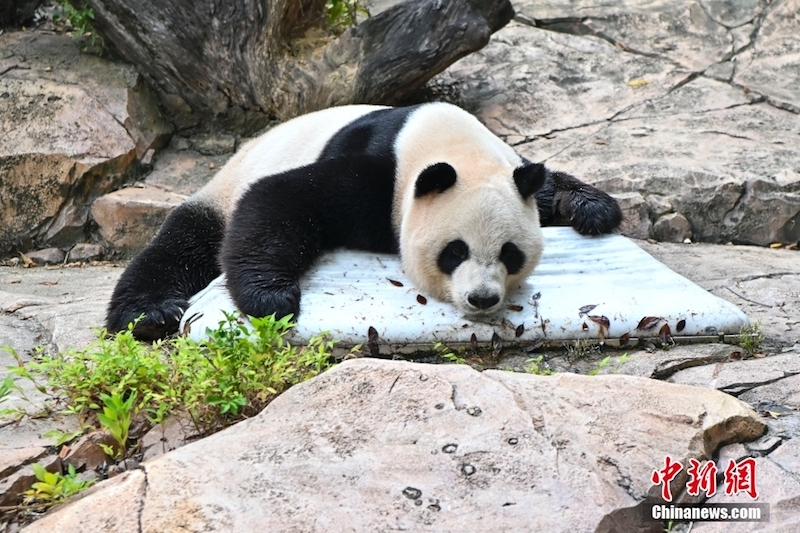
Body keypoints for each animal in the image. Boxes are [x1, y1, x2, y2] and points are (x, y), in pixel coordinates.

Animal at [106, 102, 620, 338]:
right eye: (455, 252)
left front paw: (593, 209)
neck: (453, 146)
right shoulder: (380, 175)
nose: (482, 298)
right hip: (221, 192)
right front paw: (271, 297)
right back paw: (150, 313)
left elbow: (545, 183)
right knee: (182, 245)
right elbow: (278, 198)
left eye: (510, 254)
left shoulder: (507, 164)